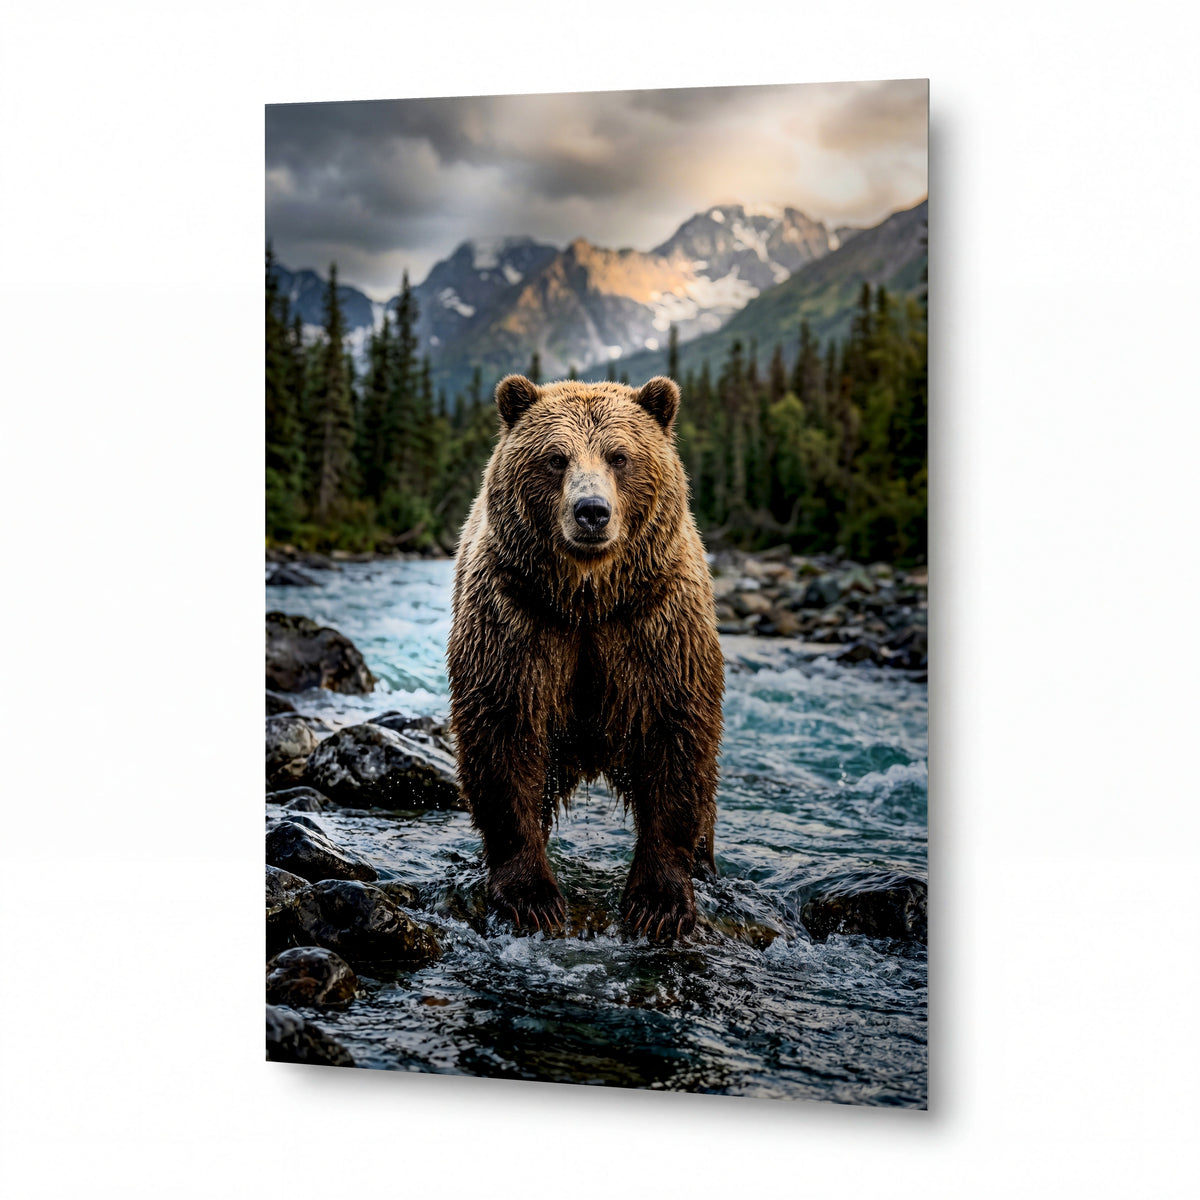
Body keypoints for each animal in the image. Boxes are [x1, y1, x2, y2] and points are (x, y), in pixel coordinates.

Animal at [447, 374, 724, 939]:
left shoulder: (656, 625)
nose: (591, 511)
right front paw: (532, 896)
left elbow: (678, 741)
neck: (588, 597)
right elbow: (503, 738)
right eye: (556, 458)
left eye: (619, 456)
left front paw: (658, 902)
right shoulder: (517, 619)